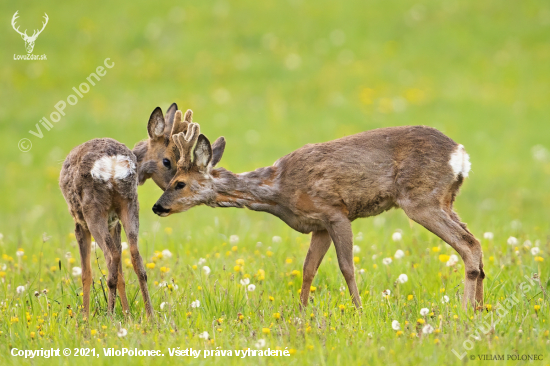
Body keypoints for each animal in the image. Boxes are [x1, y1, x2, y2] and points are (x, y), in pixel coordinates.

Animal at [59, 103, 198, 318]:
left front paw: (85, 317)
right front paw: (127, 314)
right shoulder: (115, 222)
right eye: (168, 161)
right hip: (130, 203)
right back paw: (150, 315)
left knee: (111, 257)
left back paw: (109, 315)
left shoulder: (80, 224)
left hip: (93, 210)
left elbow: (86, 273)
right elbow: (123, 272)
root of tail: (114, 164)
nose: (179, 185)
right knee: (135, 257)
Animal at [153, 125, 486, 308]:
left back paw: (466, 309)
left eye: (179, 183)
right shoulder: (319, 225)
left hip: (421, 200)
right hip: (446, 200)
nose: (157, 207)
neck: (278, 190)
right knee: (477, 243)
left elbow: (347, 267)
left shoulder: (336, 212)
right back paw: (480, 309)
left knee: (468, 244)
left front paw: (358, 310)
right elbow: (308, 269)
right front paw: (301, 313)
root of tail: (460, 154)